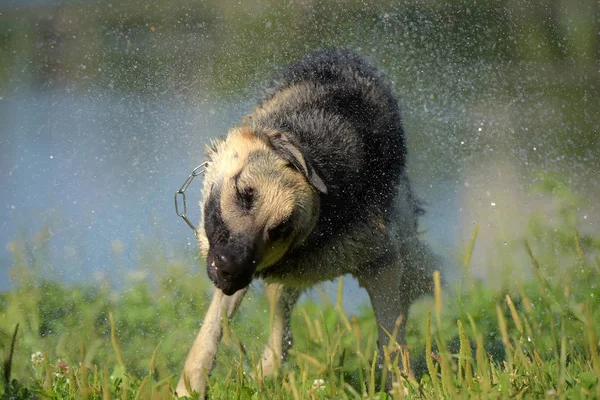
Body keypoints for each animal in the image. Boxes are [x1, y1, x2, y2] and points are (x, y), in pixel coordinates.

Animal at [173, 48, 436, 398]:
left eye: (280, 229)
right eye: (244, 193)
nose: (230, 271)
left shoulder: (383, 263)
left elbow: (392, 342)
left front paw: (404, 387)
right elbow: (210, 333)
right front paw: (189, 388)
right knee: (279, 334)